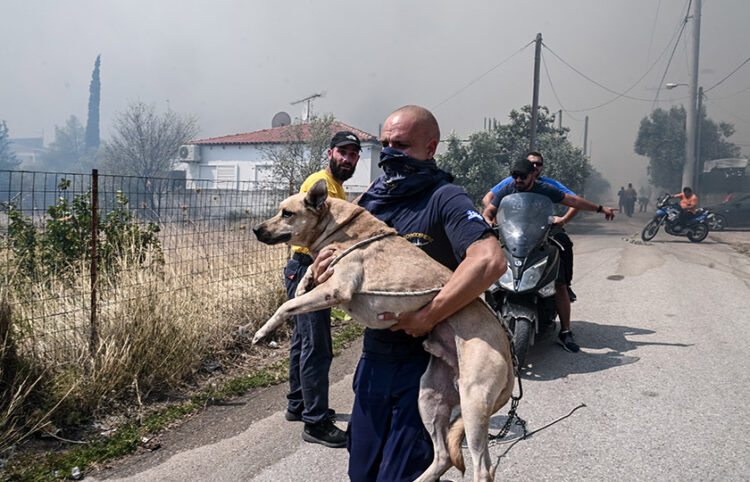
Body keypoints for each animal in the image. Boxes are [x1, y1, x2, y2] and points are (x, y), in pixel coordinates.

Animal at [247, 181, 516, 482]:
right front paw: (304, 282)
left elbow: (286, 305)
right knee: (443, 454)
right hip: (429, 397)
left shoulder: (336, 289)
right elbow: (305, 282)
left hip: (473, 403)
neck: (338, 225)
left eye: (287, 213)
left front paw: (263, 331)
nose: (256, 229)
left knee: (483, 467)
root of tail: (509, 355)